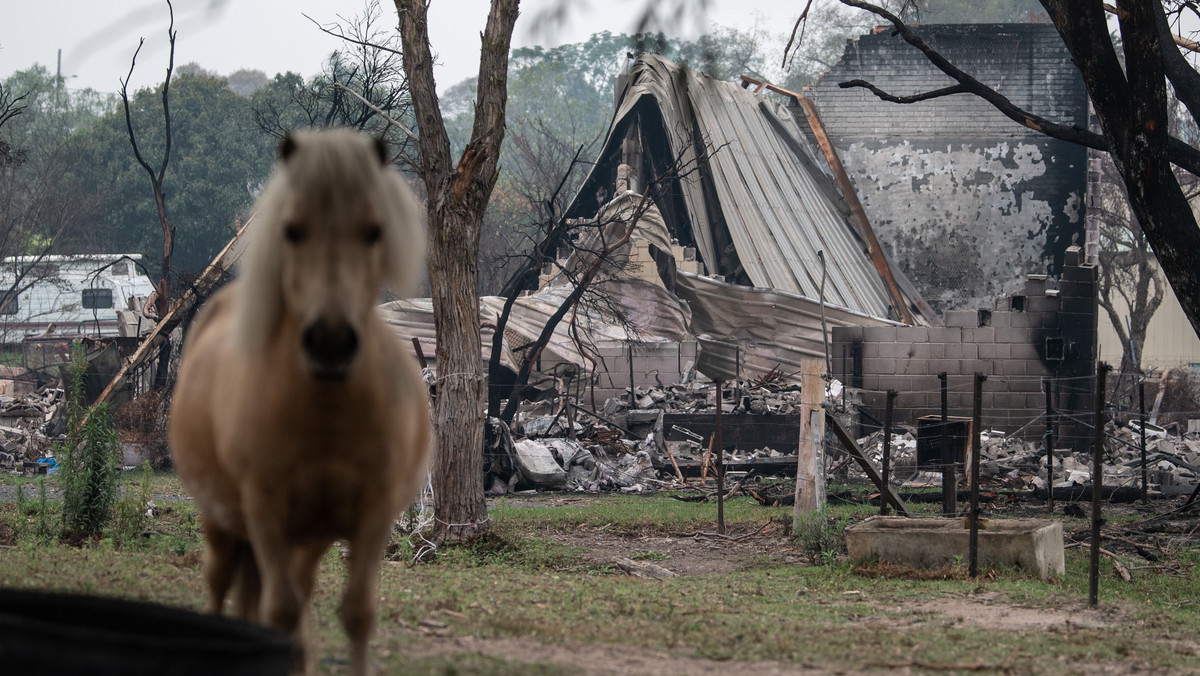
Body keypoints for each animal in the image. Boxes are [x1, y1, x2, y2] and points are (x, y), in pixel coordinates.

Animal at [169, 128, 432, 676]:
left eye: (374, 230)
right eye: (291, 230)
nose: (330, 343)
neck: (325, 412)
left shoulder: (373, 516)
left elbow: (356, 613)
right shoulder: (265, 512)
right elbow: (282, 613)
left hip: (307, 540)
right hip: (224, 523)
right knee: (221, 585)